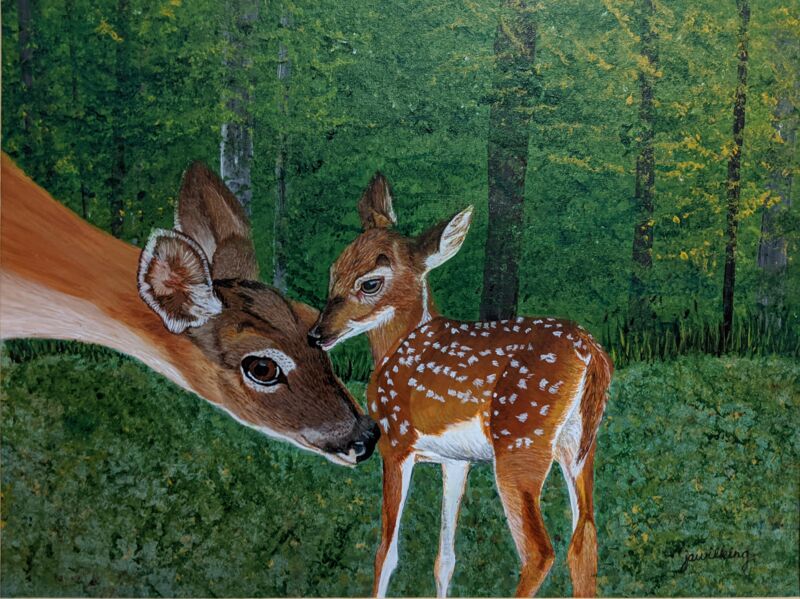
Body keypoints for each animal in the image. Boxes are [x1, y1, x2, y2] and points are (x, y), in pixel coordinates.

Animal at [308, 173, 613, 597]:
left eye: (370, 283)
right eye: (334, 269)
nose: (317, 334)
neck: (394, 349)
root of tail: (591, 353)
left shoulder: (395, 442)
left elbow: (386, 553)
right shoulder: (455, 460)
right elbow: (446, 558)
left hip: (521, 441)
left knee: (540, 551)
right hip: (580, 445)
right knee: (585, 540)